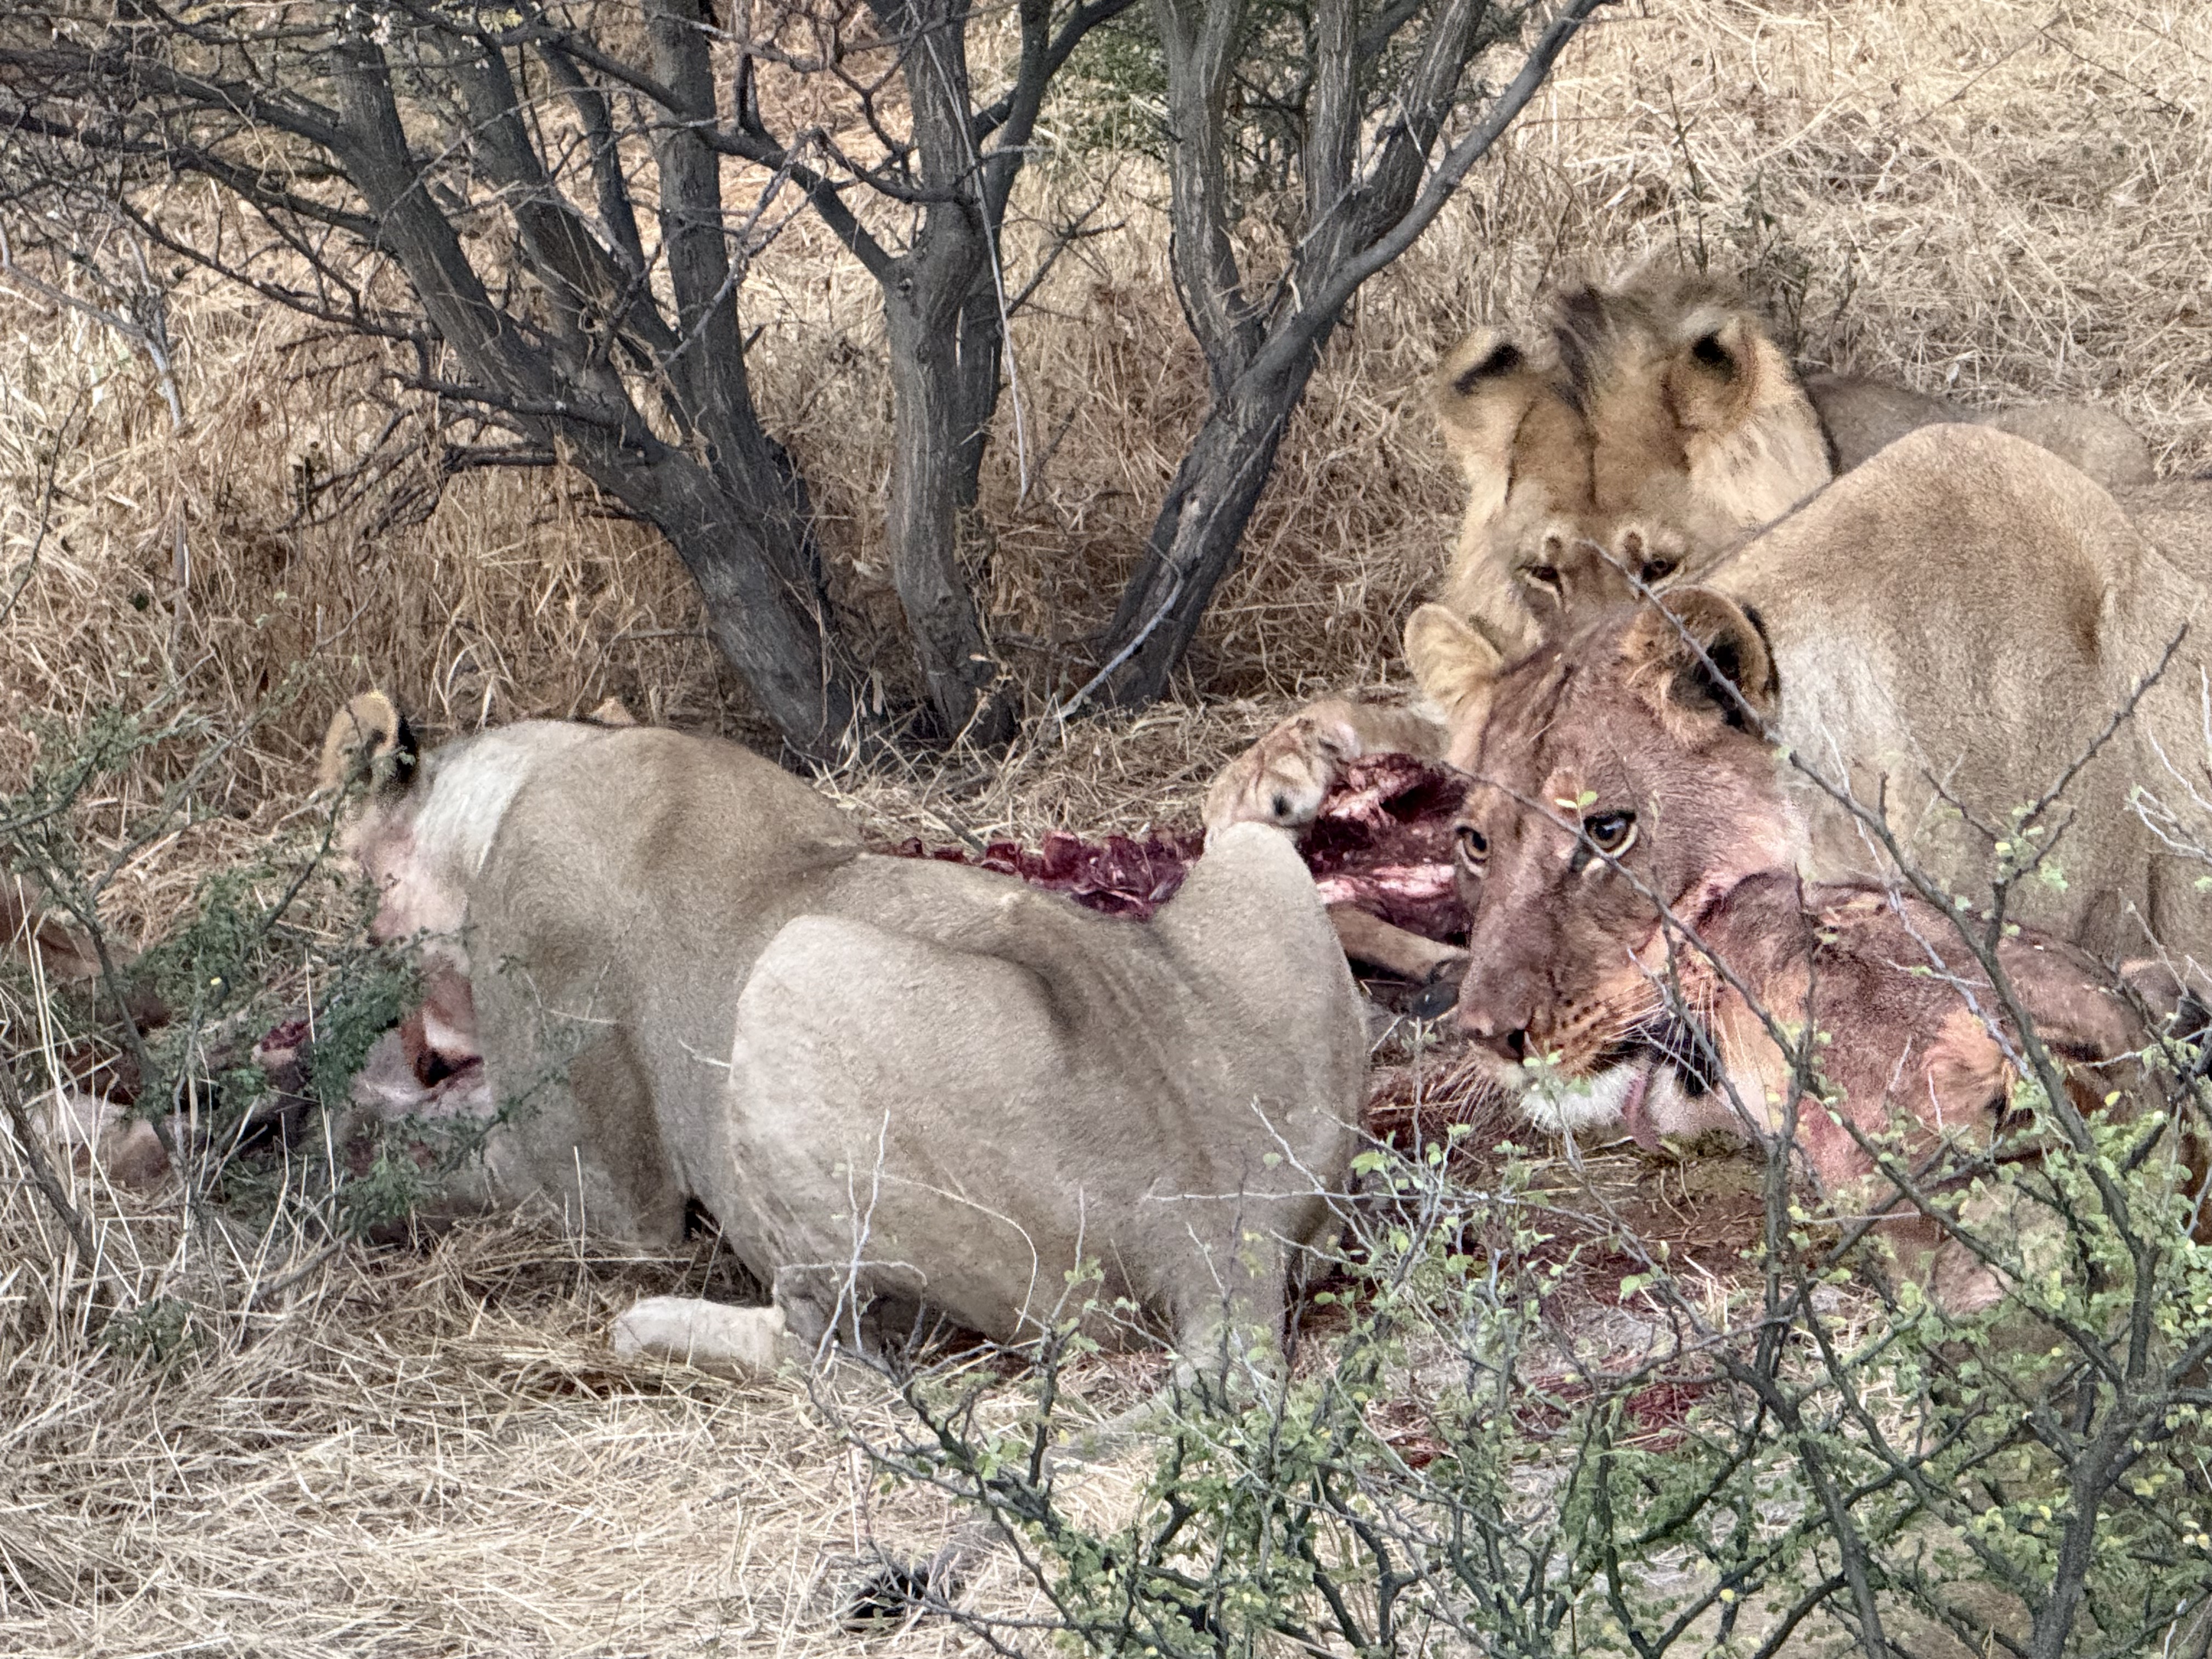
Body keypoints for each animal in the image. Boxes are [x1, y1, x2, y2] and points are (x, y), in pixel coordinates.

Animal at [322, 694, 1367, 1376]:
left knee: (832, 1355)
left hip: (796, 966)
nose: (386, 1022)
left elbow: (484, 1171)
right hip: (1264, 907)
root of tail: (1219, 1227)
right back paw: (1274, 780)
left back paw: (656, 1329)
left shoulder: (608, 1190)